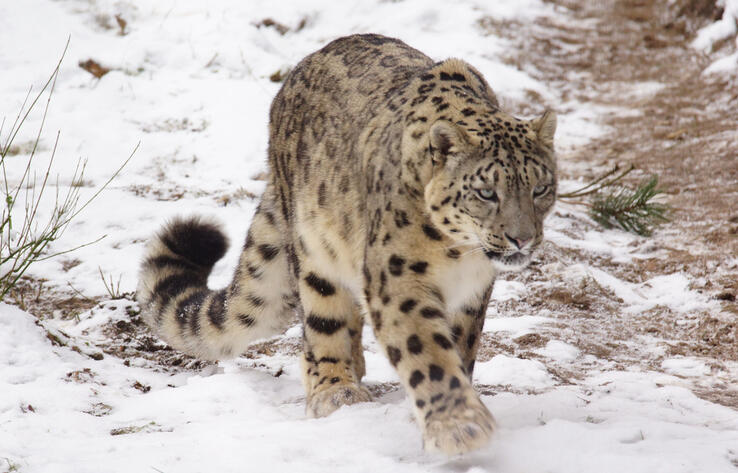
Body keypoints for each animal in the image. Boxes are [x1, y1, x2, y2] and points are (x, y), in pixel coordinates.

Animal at [137, 33, 557, 455]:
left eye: (540, 187)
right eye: (486, 192)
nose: (522, 237)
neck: (458, 255)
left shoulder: (473, 293)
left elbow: (460, 348)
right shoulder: (398, 280)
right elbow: (426, 351)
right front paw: (458, 426)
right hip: (315, 257)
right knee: (323, 326)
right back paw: (335, 390)